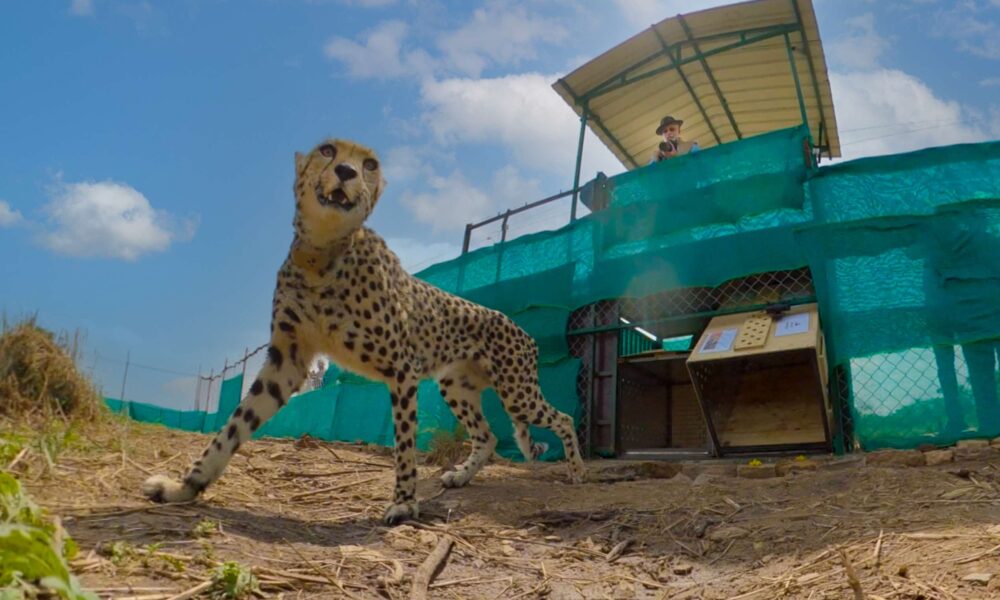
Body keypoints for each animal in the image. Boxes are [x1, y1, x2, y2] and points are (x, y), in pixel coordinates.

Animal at [145, 138, 588, 524]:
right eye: (327, 151)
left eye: (368, 164)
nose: (346, 172)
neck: (322, 253)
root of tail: (520, 327)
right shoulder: (289, 359)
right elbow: (233, 428)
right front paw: (184, 488)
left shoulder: (402, 368)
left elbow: (405, 444)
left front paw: (404, 505)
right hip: (456, 386)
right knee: (490, 437)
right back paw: (461, 475)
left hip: (516, 392)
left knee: (564, 417)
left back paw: (577, 471)